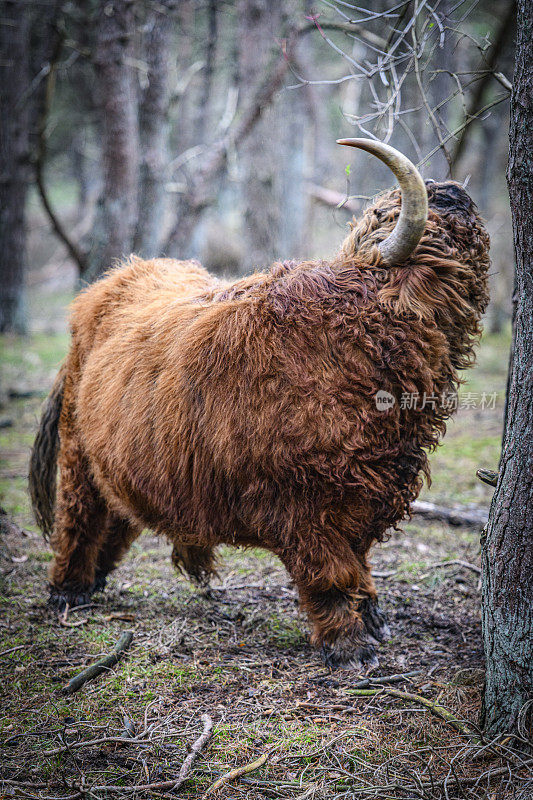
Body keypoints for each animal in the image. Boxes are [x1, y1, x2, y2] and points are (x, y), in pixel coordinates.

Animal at [28, 142, 486, 668]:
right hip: (76, 450)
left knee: (120, 510)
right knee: (78, 513)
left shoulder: (368, 484)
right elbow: (332, 569)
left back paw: (96, 579)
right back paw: (68, 591)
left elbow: (360, 561)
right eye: (435, 211)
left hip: (125, 454)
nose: (452, 189)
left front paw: (373, 618)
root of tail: (107, 282)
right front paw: (349, 645)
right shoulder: (305, 498)